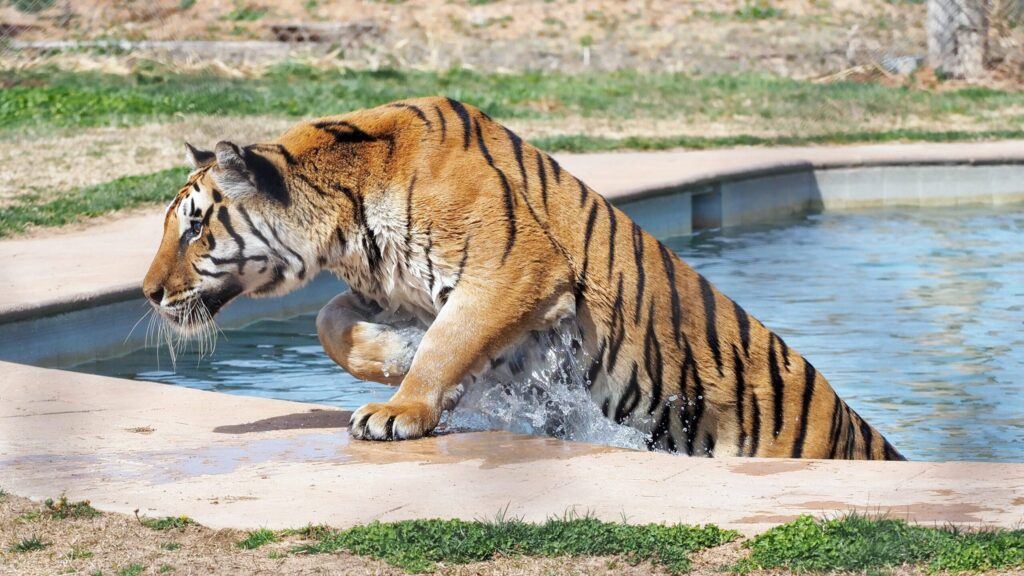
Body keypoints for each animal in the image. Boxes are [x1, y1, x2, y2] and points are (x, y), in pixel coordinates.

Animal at [142, 96, 905, 460]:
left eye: (195, 226)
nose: (148, 293)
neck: (346, 218)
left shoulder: (514, 270)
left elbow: (449, 342)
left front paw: (398, 409)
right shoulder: (387, 288)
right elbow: (332, 324)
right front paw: (397, 360)